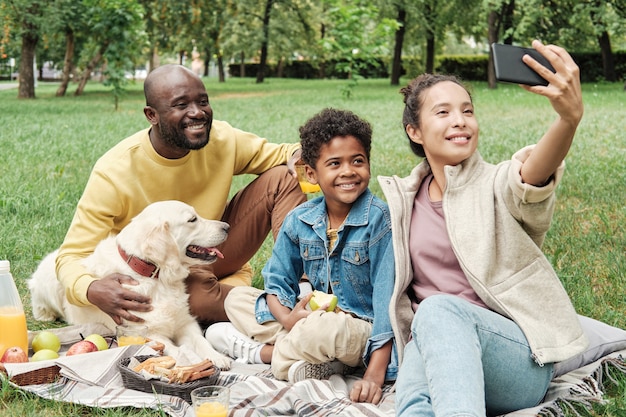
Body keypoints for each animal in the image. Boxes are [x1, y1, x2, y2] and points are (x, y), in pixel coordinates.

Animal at [28, 201, 232, 368]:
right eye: (192, 219)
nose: (227, 227)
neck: (156, 277)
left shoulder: (185, 323)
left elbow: (201, 340)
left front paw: (217, 357)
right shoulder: (150, 333)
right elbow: (175, 349)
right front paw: (193, 361)